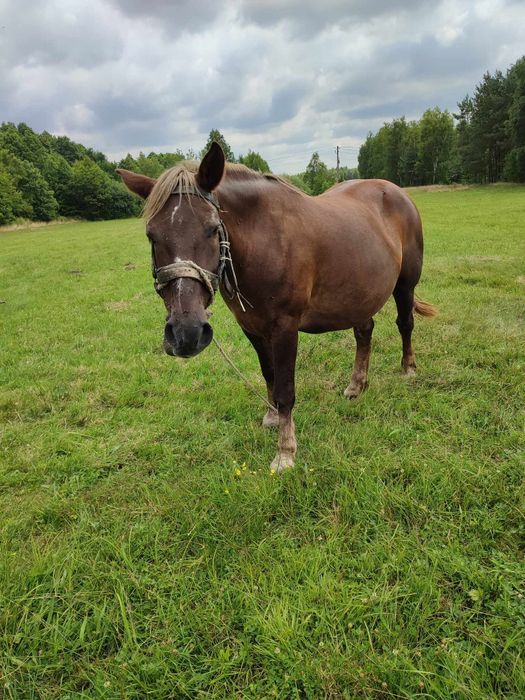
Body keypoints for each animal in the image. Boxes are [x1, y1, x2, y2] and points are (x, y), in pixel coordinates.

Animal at [117, 142, 434, 470]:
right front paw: (271, 418)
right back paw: (356, 385)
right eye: (151, 235)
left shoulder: (285, 328)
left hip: (405, 284)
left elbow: (285, 389)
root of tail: (396, 191)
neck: (266, 241)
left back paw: (408, 369)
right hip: (359, 294)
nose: (186, 333)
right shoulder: (252, 327)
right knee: (364, 332)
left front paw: (285, 451)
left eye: (212, 228)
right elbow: (268, 374)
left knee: (405, 324)